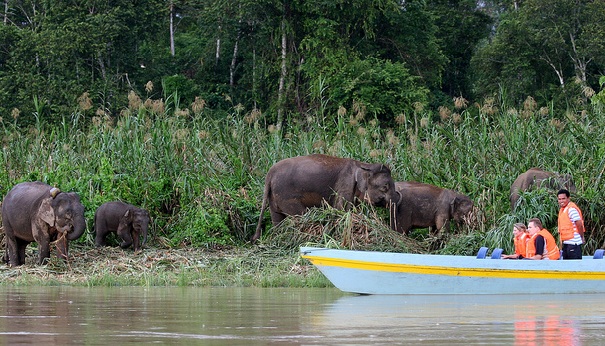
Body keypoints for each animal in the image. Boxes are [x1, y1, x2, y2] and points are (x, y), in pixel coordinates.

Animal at [252, 153, 398, 242]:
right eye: (385, 187)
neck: (364, 165)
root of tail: (269, 174)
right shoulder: (344, 186)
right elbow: (342, 210)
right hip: (287, 196)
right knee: (299, 216)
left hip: (274, 197)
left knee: (278, 220)